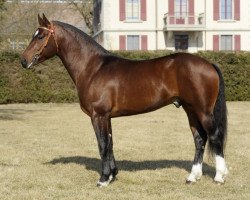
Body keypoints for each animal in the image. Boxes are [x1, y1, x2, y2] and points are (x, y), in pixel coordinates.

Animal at [21, 14, 229, 188]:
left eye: (40, 36)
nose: (23, 61)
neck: (93, 68)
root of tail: (208, 64)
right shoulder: (107, 117)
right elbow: (110, 143)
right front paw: (112, 175)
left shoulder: (98, 115)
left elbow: (102, 145)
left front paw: (103, 179)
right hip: (190, 109)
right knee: (199, 139)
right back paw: (192, 177)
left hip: (203, 111)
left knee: (214, 136)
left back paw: (219, 176)